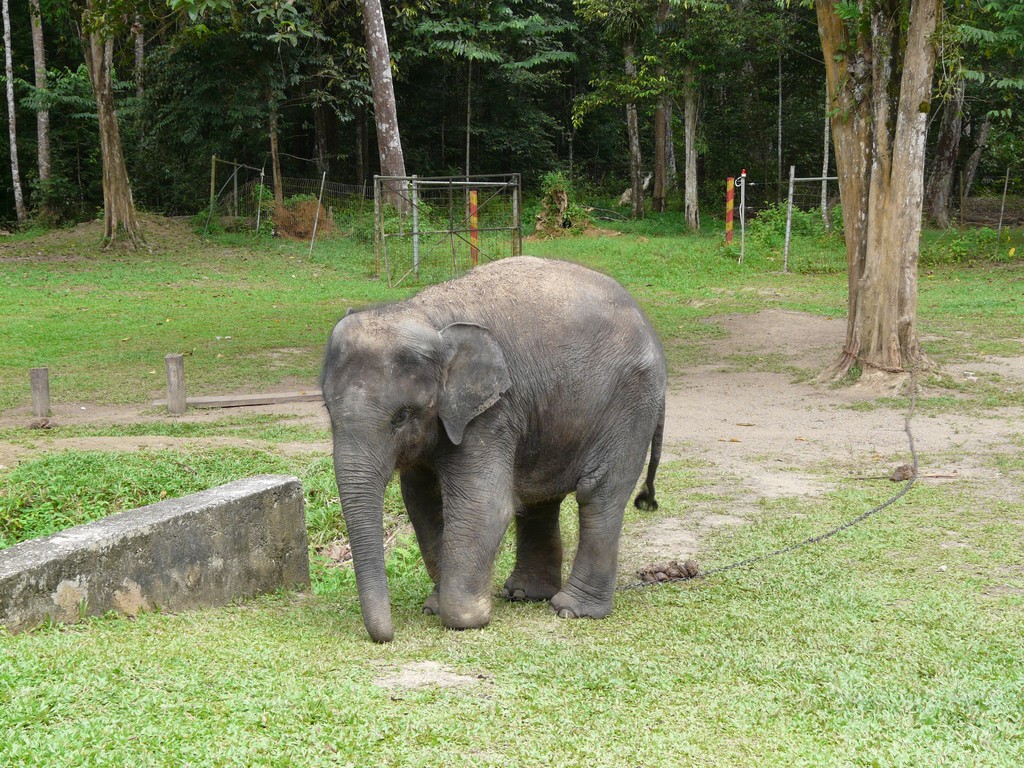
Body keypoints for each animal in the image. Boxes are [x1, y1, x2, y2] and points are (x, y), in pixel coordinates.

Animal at [323, 256, 667, 638]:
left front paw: (464, 618)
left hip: (630, 404)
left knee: (598, 494)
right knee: (541, 498)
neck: (423, 314)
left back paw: (571, 610)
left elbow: (484, 505)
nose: (387, 637)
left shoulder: (492, 411)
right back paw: (524, 594)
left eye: (402, 416)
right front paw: (434, 607)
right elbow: (422, 504)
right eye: (328, 410)